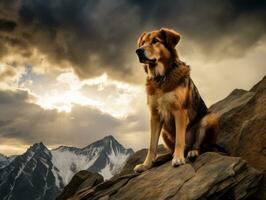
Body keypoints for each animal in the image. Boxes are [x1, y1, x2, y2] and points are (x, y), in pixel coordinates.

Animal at [135, 27, 218, 173]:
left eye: (155, 41)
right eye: (142, 43)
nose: (138, 51)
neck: (161, 77)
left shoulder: (179, 112)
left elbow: (180, 139)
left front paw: (178, 159)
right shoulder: (155, 116)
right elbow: (152, 145)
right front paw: (146, 164)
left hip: (209, 118)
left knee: (199, 146)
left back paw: (192, 152)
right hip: (164, 132)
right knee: (172, 149)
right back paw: (162, 157)